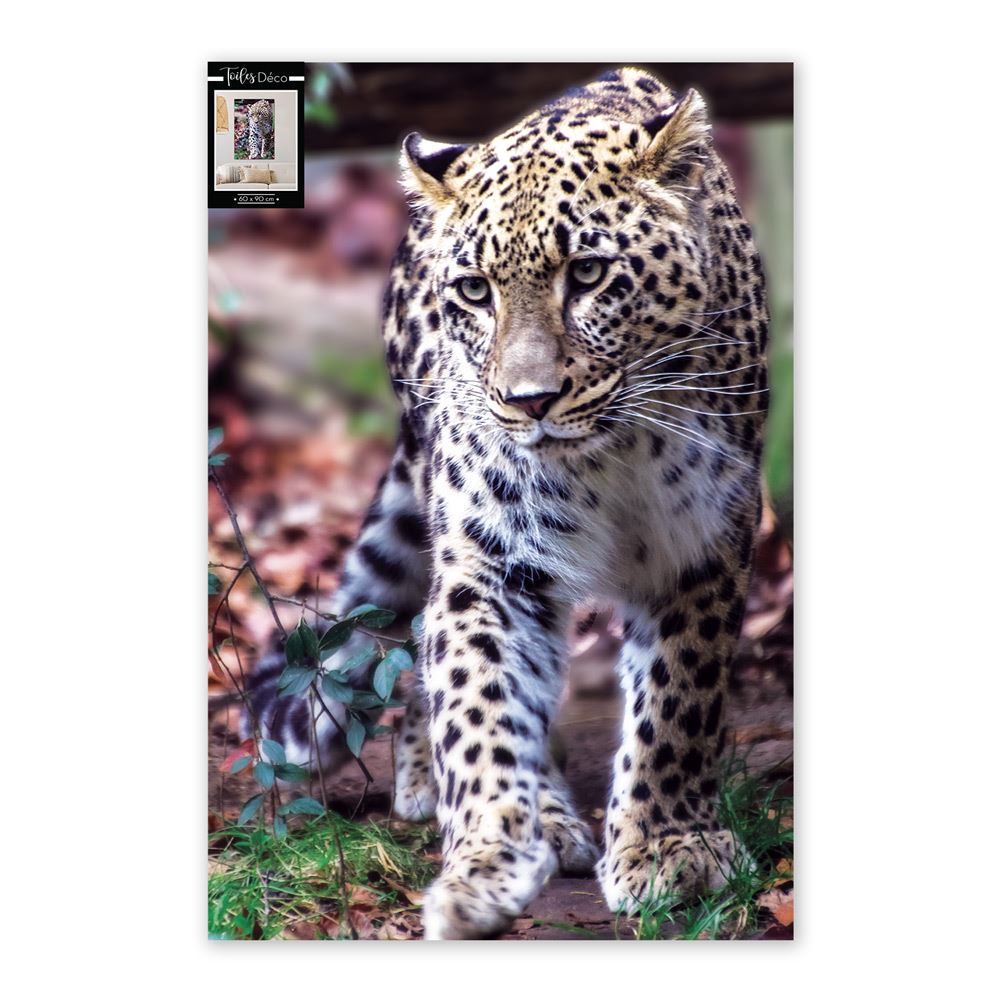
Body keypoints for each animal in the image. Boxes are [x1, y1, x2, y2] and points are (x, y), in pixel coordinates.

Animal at [245, 66, 768, 940]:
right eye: (475, 291)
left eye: (587, 274)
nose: (529, 402)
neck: (614, 452)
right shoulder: (491, 560)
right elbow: (478, 703)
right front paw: (485, 861)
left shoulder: (705, 545)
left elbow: (676, 703)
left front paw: (667, 847)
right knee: (426, 646)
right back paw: (494, 802)